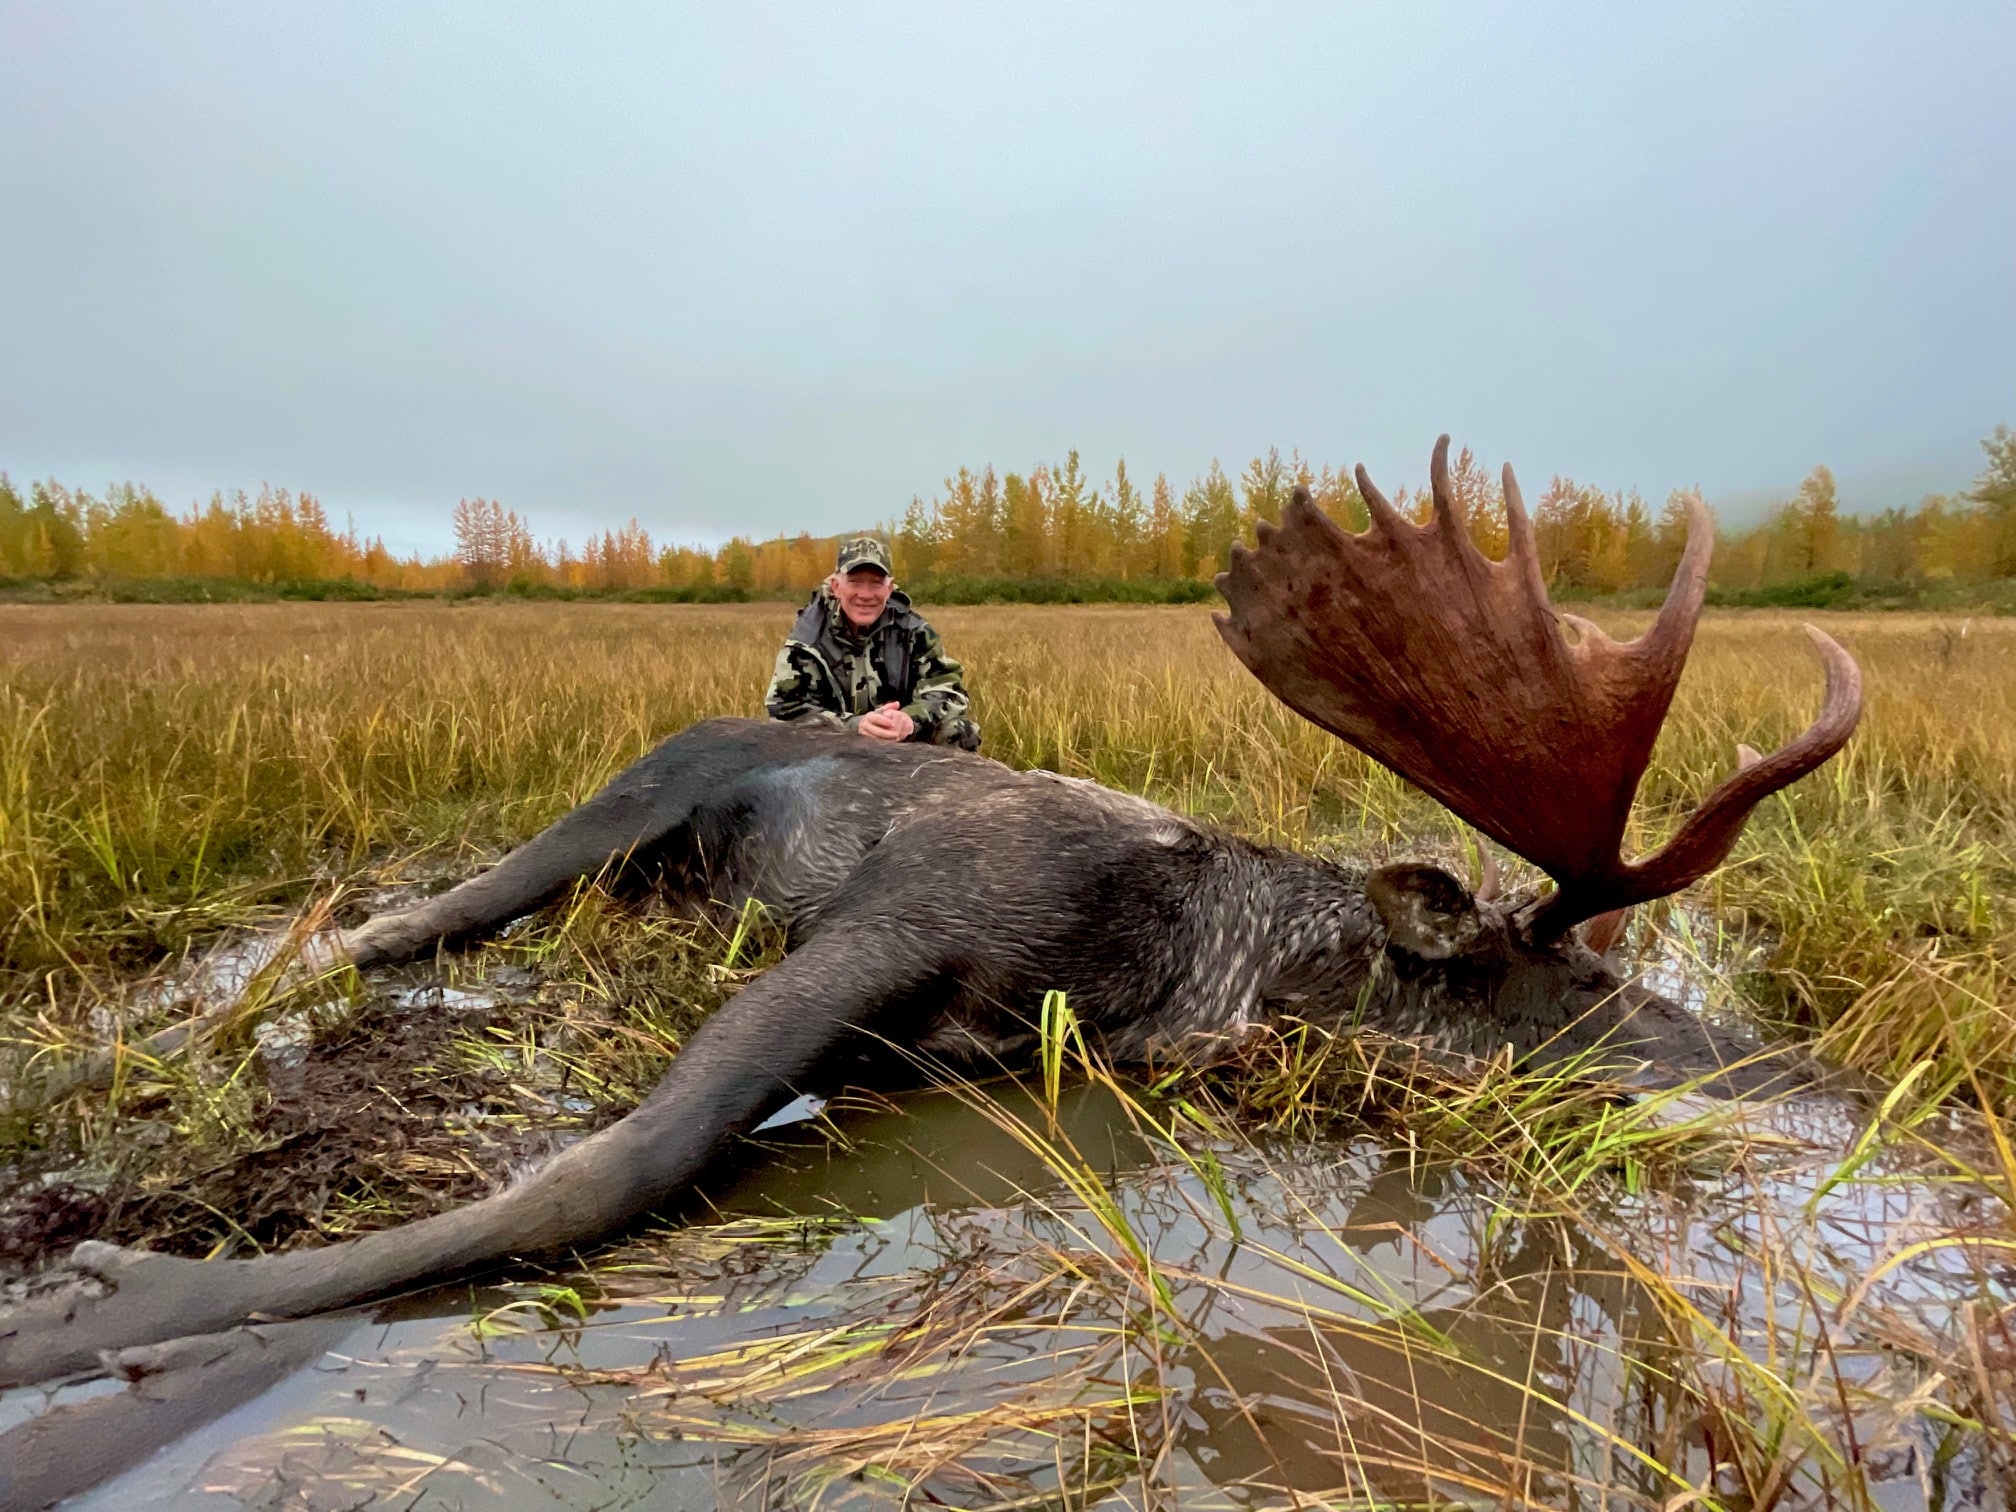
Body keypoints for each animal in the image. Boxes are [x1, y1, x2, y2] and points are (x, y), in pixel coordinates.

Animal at [0, 437, 1854, 1491]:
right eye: (1577, 990)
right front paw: (119, 1305)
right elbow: (606, 1169)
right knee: (411, 922)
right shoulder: (887, 931)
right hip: (610, 811)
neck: (1185, 963)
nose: (1813, 1089)